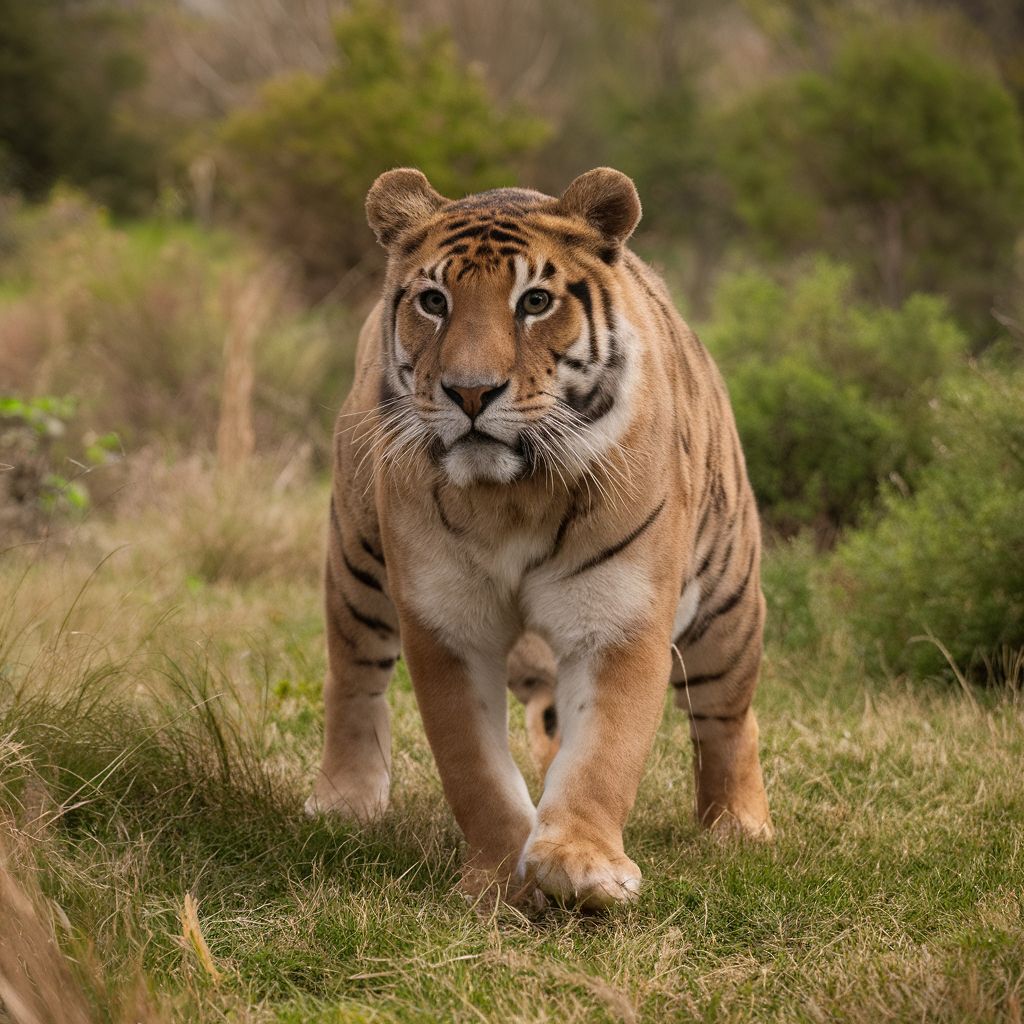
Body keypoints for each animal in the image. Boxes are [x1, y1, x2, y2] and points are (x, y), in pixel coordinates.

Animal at [307, 167, 770, 913]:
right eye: (434, 301)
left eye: (535, 301)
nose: (471, 393)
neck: (511, 498)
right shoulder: (446, 625)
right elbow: (474, 767)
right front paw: (501, 873)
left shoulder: (619, 619)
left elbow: (604, 753)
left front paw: (580, 863)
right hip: (355, 564)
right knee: (353, 680)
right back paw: (345, 802)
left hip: (728, 607)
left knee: (728, 718)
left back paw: (738, 826)